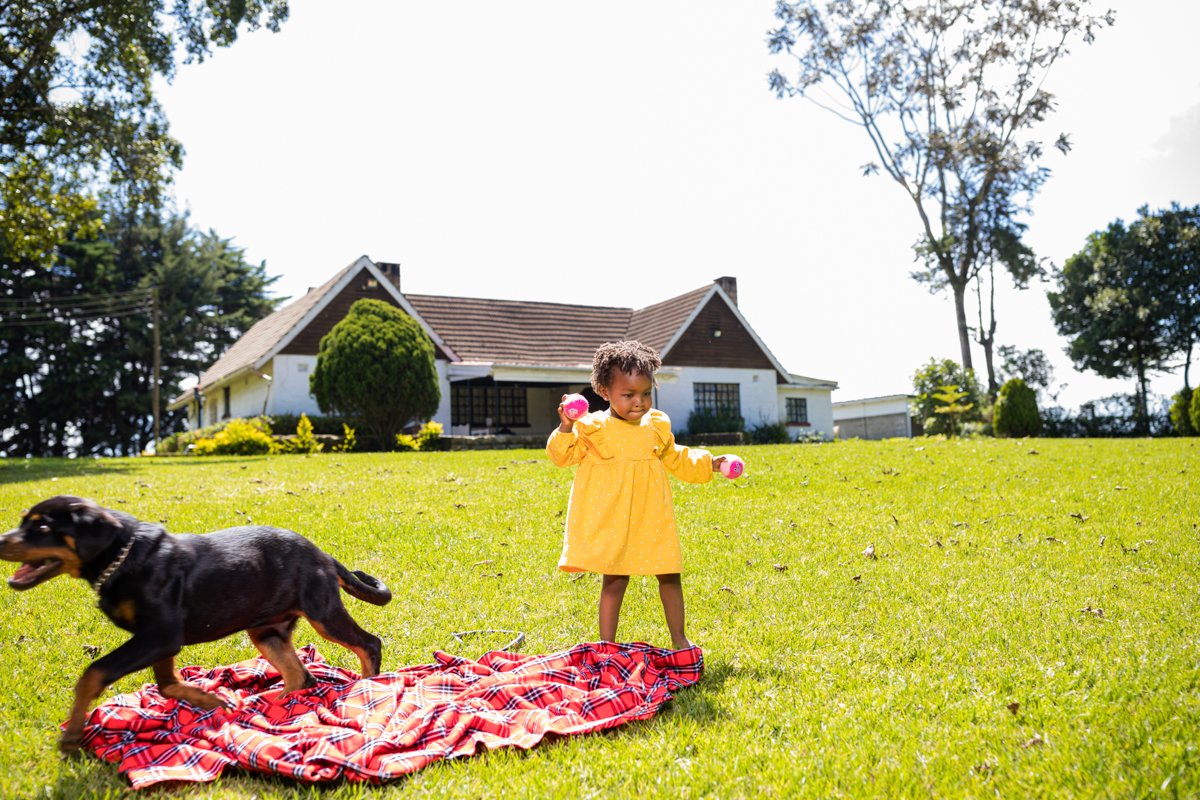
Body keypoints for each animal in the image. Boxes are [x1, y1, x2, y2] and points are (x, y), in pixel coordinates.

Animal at [0, 494, 393, 758]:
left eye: (43, 527)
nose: (1, 542)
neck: (121, 556)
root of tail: (323, 555)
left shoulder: (159, 635)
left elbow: (93, 672)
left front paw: (71, 736)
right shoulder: (159, 640)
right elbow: (167, 684)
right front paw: (212, 700)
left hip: (322, 612)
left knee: (368, 644)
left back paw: (369, 688)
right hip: (266, 631)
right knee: (301, 675)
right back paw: (268, 707)